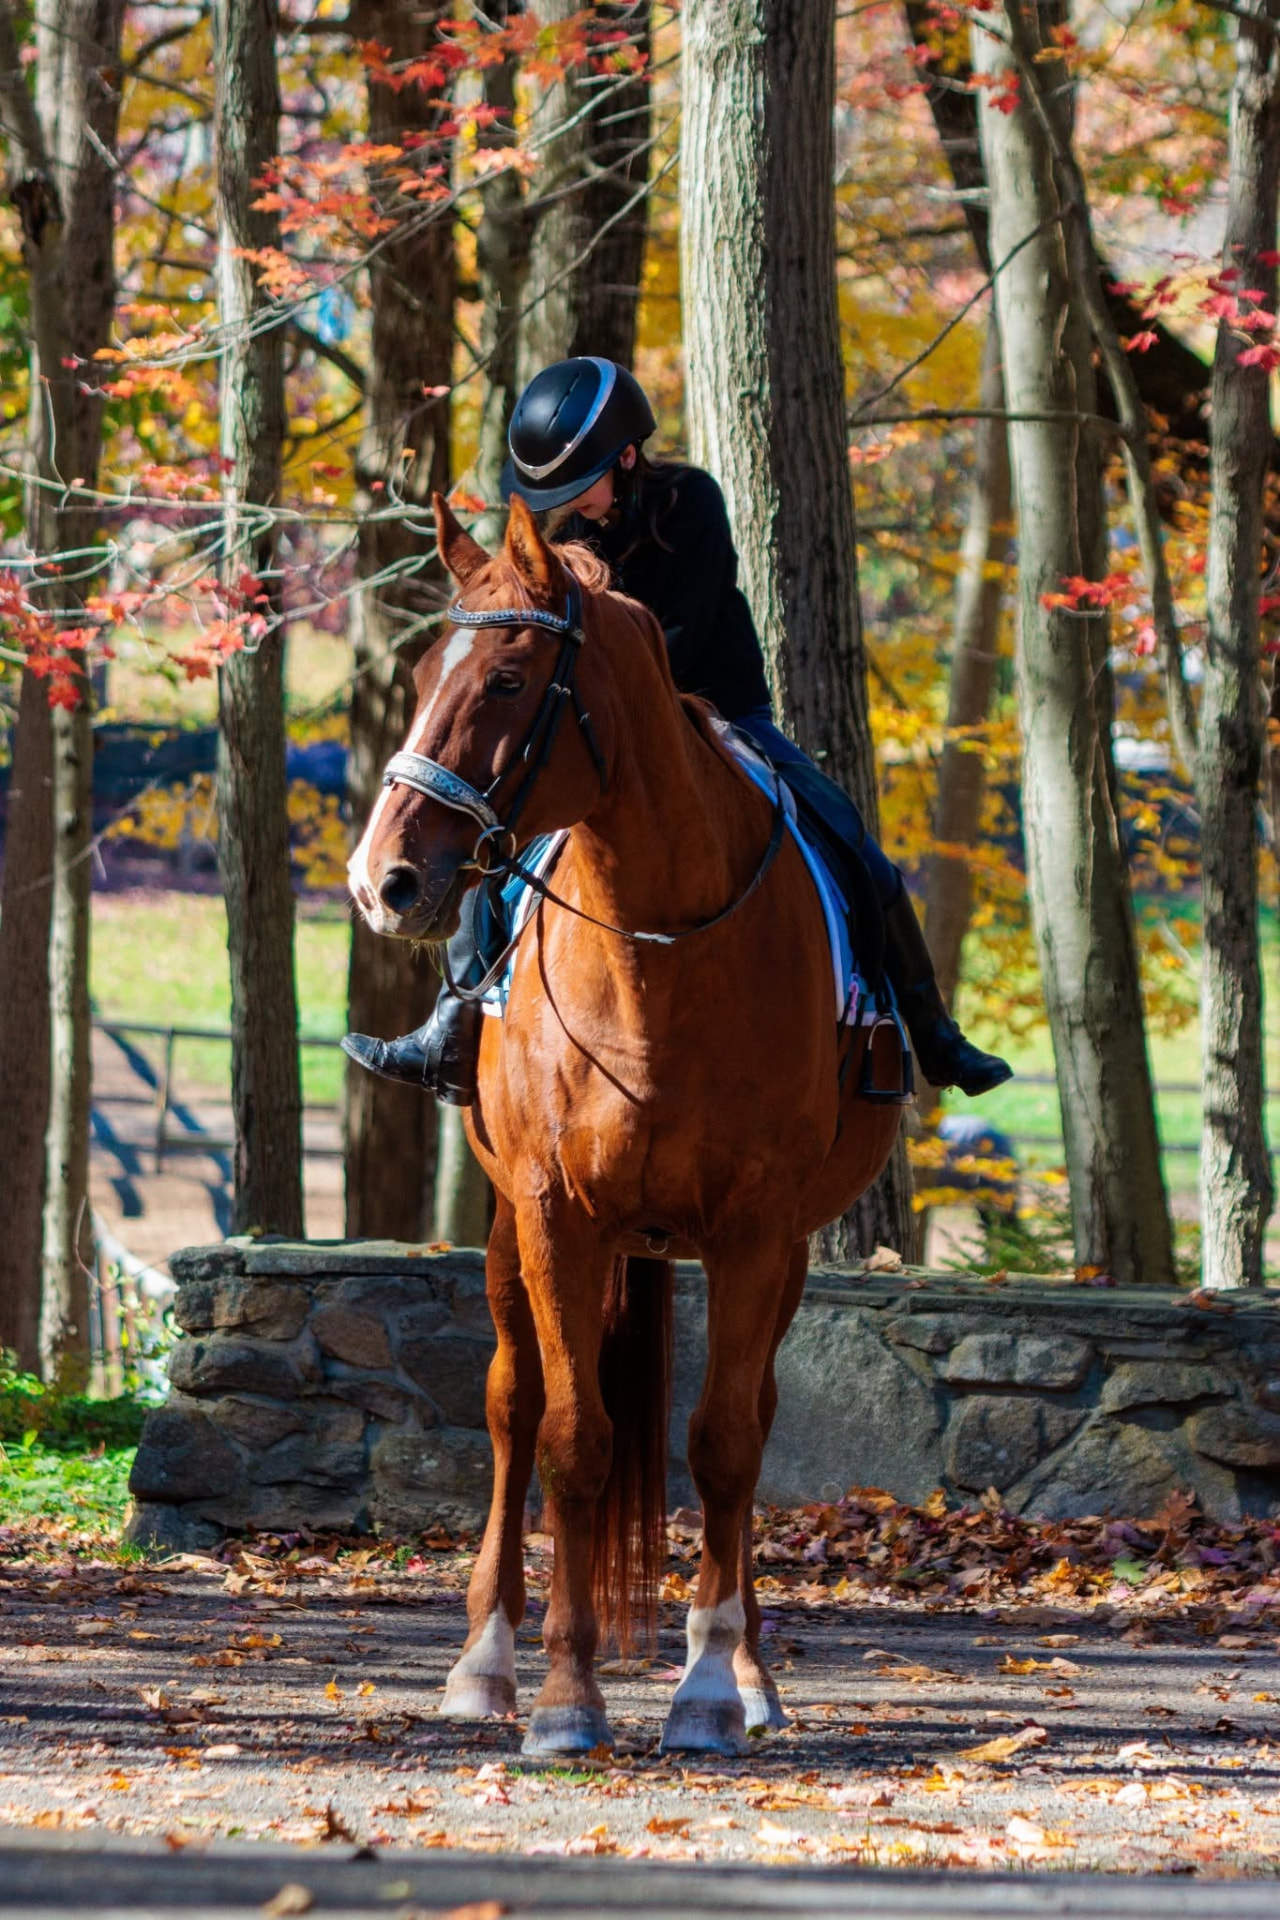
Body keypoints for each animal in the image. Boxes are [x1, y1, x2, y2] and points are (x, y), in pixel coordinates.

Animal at [348, 493, 903, 1757]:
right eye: (422, 674)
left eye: (508, 681)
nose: (381, 881)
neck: (661, 948)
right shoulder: (556, 1216)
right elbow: (571, 1436)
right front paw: (562, 1694)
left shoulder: (756, 1232)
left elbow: (725, 1442)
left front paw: (707, 1687)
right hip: (510, 1232)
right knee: (511, 1405)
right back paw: (483, 1664)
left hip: (782, 1252)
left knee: (750, 1415)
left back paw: (747, 1672)